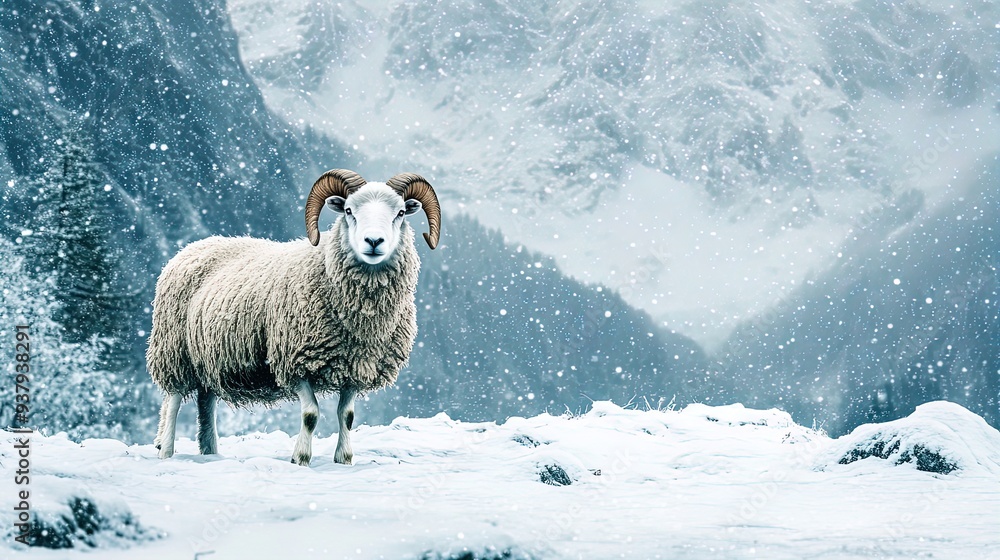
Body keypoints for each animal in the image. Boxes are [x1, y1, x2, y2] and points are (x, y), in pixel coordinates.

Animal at [147, 169, 441, 466]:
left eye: (400, 213)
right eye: (349, 211)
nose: (373, 242)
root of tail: (193, 246)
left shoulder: (354, 366)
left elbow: (346, 416)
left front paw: (343, 458)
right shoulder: (293, 359)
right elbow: (310, 414)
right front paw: (300, 458)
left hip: (207, 357)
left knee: (205, 401)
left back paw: (209, 450)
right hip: (174, 348)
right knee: (173, 399)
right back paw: (166, 449)